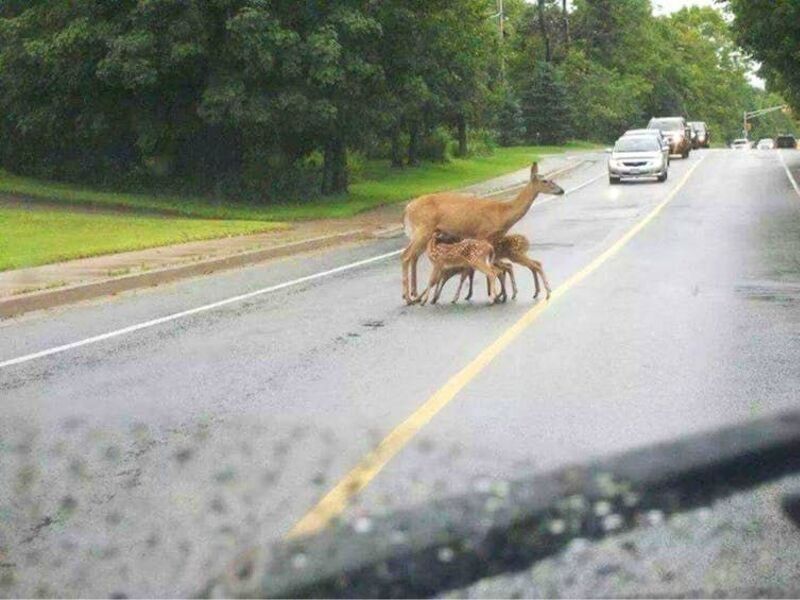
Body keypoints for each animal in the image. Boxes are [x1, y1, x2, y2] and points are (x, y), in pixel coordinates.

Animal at [401, 162, 564, 303]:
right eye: (545, 181)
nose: (561, 190)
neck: (502, 213)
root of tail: (407, 208)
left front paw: (495, 294)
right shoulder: (483, 234)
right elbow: (484, 267)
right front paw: (495, 294)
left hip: (424, 233)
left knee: (413, 256)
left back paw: (413, 294)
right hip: (423, 229)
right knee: (406, 256)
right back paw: (409, 297)